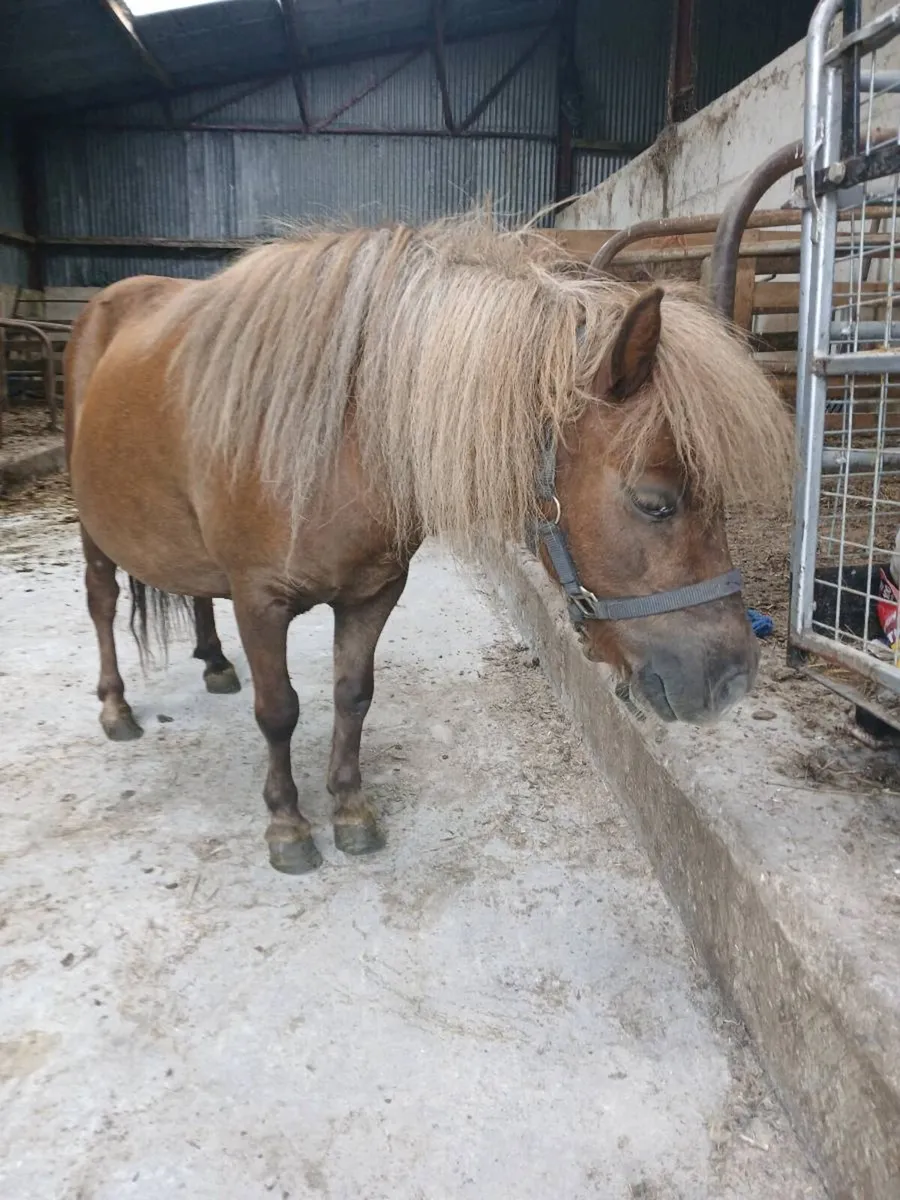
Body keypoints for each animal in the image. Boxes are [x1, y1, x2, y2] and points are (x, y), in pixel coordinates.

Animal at [64, 218, 792, 874]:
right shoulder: (260, 601)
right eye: (654, 501)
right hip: (93, 528)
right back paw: (115, 707)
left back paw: (215, 661)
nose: (732, 679)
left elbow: (352, 694)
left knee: (195, 595)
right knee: (101, 601)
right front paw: (288, 824)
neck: (335, 442)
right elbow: (279, 712)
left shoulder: (375, 591)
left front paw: (350, 808)